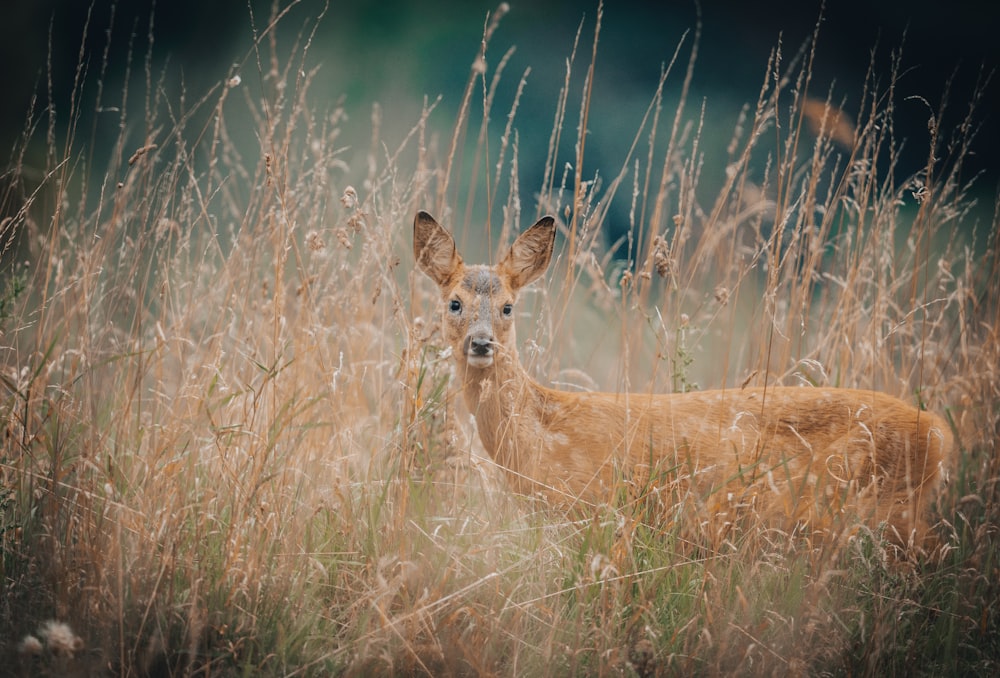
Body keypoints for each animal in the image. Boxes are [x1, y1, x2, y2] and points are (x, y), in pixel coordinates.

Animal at [414, 210, 952, 548]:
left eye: (508, 306)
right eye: (454, 303)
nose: (482, 343)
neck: (544, 431)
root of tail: (939, 432)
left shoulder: (599, 512)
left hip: (880, 509)